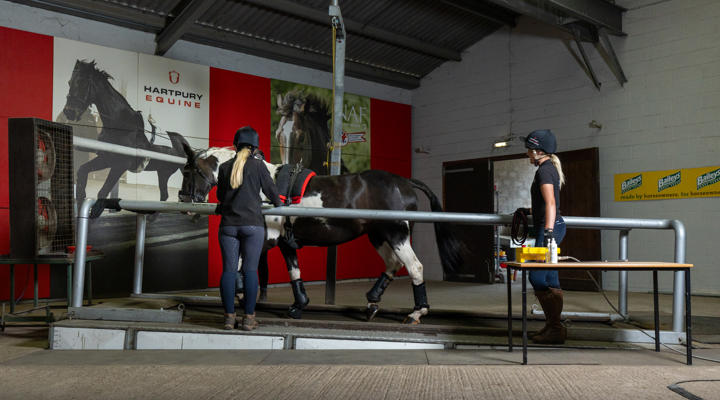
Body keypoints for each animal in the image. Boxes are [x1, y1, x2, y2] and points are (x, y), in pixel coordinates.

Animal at [61, 60, 190, 203]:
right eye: (69, 82)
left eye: (83, 82)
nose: (69, 112)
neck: (121, 123)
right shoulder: (106, 159)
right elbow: (82, 173)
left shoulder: (120, 165)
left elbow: (102, 193)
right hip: (163, 172)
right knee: (164, 195)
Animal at [179, 145, 462, 324]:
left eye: (188, 171)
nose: (184, 202)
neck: (259, 185)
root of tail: (404, 182)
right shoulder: (285, 243)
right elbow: (294, 273)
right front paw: (298, 305)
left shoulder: (266, 239)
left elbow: (238, 264)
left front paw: (238, 294)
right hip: (378, 235)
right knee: (393, 264)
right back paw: (372, 303)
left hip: (396, 235)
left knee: (414, 267)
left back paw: (416, 312)